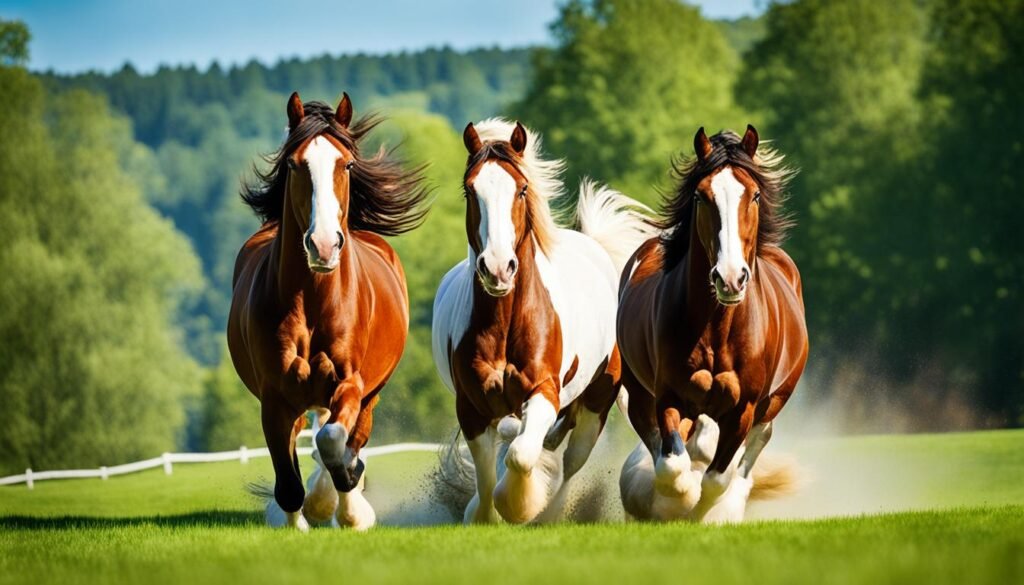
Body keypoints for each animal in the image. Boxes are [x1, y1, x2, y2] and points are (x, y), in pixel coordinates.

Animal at [228, 92, 428, 532]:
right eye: (293, 163)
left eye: (347, 164)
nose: (322, 245)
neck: (313, 302)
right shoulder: (274, 397)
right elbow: (288, 481)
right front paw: (301, 518)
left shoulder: (350, 382)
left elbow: (334, 442)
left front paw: (345, 508)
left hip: (371, 394)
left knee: (348, 438)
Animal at [432, 117, 655, 522]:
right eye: (470, 190)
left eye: (521, 189)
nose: (498, 268)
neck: (506, 323)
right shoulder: (471, 409)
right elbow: (487, 475)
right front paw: (484, 513)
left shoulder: (543, 392)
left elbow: (521, 456)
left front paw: (519, 506)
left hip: (595, 404)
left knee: (569, 462)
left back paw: (550, 511)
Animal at [614, 126, 806, 524]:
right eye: (702, 196)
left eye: (755, 194)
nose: (730, 278)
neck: (719, 330)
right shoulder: (668, 397)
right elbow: (672, 463)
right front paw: (680, 498)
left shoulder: (742, 409)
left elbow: (719, 477)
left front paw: (707, 512)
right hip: (641, 393)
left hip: (774, 402)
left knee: (752, 449)